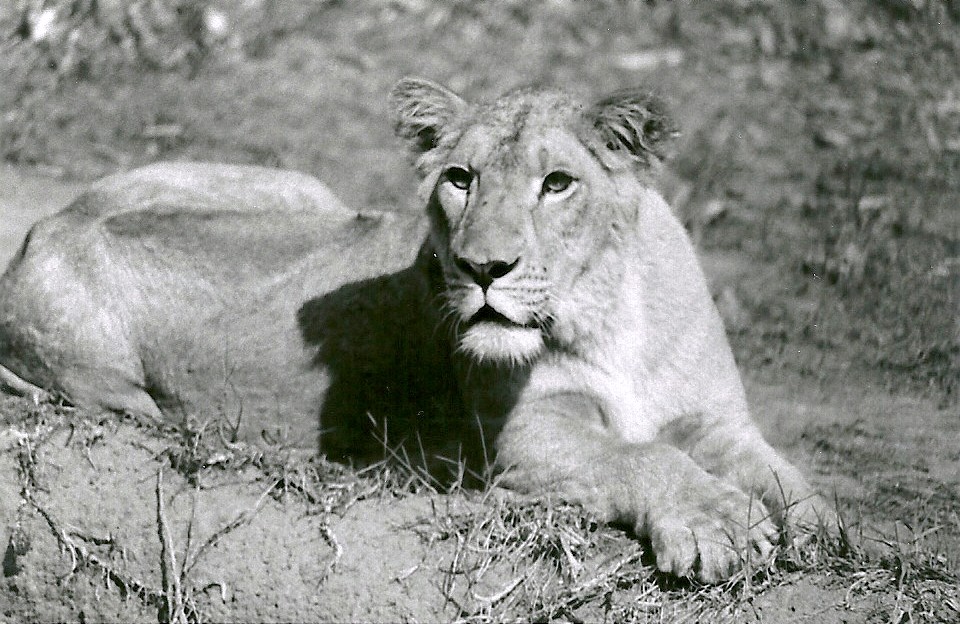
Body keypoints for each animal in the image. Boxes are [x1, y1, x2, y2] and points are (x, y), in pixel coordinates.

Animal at [0, 78, 833, 583]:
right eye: (459, 179)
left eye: (557, 183)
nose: (482, 267)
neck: (609, 312)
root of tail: (45, 228)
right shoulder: (523, 446)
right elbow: (642, 456)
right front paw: (719, 521)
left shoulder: (717, 419)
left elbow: (779, 472)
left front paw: (821, 530)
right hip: (109, 386)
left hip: (302, 188)